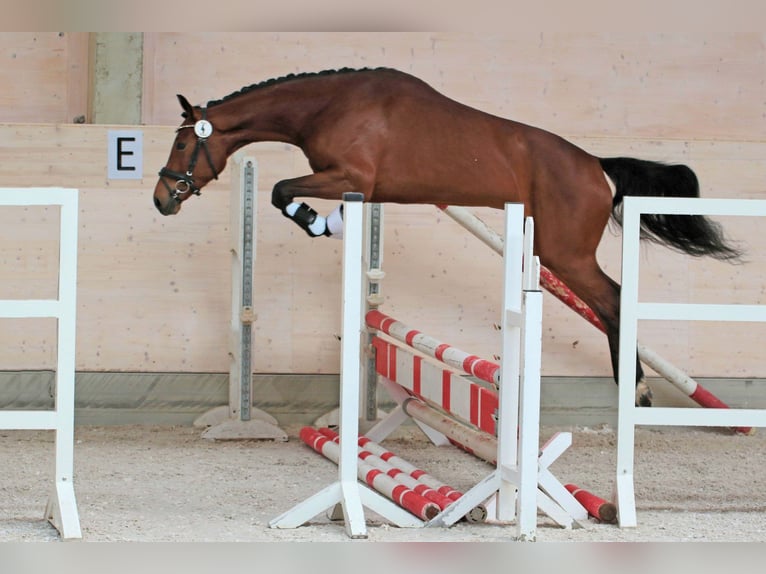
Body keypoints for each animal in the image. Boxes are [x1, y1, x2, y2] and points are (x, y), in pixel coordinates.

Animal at [153, 67, 741, 406]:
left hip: (565, 254)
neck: (329, 104)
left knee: (613, 300)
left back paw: (636, 391)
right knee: (609, 304)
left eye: (182, 146)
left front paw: (320, 222)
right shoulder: (354, 184)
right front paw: (333, 223)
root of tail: (596, 165)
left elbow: (280, 191)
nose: (161, 199)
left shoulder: (347, 176)